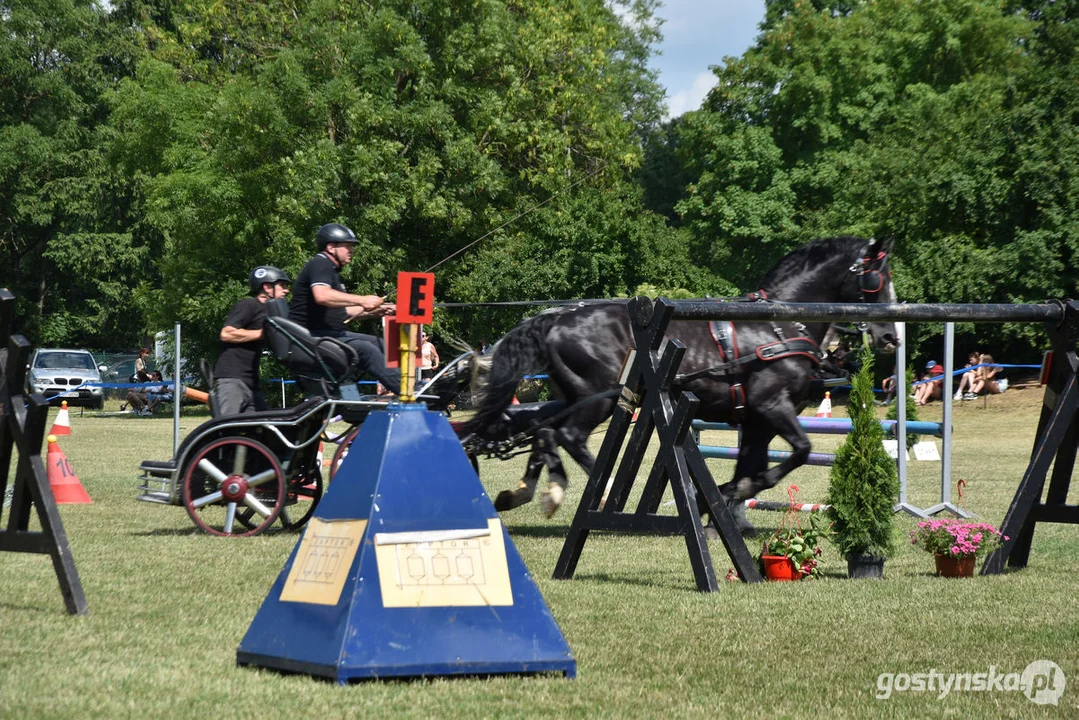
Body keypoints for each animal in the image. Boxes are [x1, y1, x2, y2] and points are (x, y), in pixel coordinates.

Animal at [459, 236, 897, 524]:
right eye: (877, 277)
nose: (890, 337)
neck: (777, 325)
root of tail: (556, 318)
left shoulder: (758, 418)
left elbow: (754, 464)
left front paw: (730, 507)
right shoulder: (772, 406)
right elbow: (801, 451)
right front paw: (727, 497)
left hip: (574, 395)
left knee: (545, 430)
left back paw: (536, 491)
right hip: (601, 398)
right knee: (569, 435)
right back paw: (601, 489)